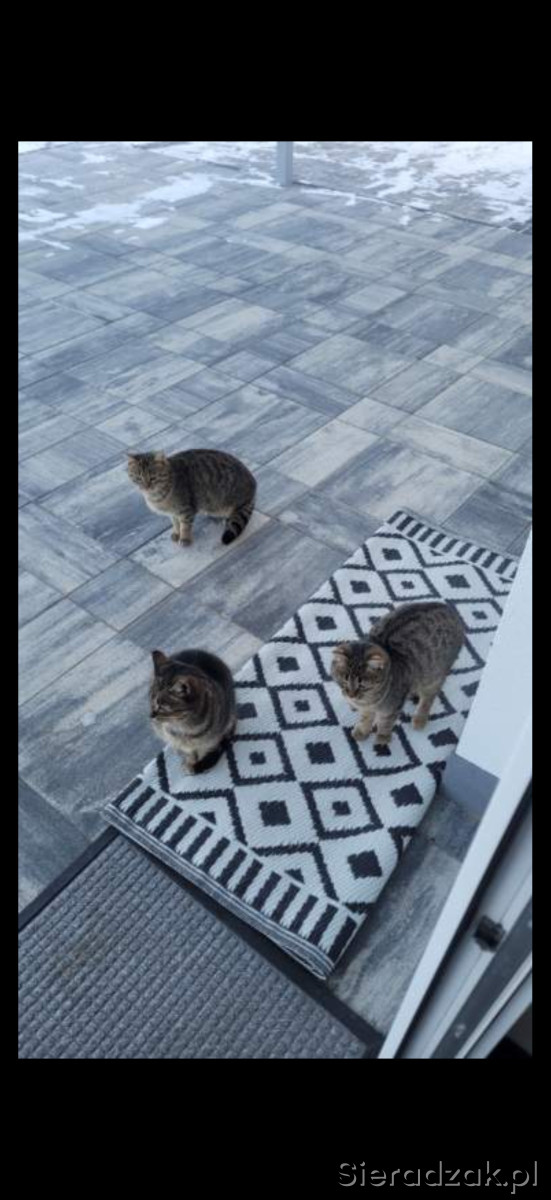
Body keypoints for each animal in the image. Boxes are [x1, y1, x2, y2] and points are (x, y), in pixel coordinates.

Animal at [127, 448, 256, 547]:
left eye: (153, 478)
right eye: (138, 478)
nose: (146, 487)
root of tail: (253, 486)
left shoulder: (186, 509)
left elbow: (185, 526)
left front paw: (185, 539)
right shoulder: (173, 513)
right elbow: (175, 523)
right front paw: (176, 533)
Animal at [331, 601, 464, 746]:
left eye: (362, 685)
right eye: (344, 680)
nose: (351, 695)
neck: (369, 700)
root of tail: (449, 609)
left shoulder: (392, 707)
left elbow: (386, 722)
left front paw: (383, 737)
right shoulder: (366, 709)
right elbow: (365, 719)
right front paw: (362, 731)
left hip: (434, 675)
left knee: (429, 697)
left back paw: (420, 718)